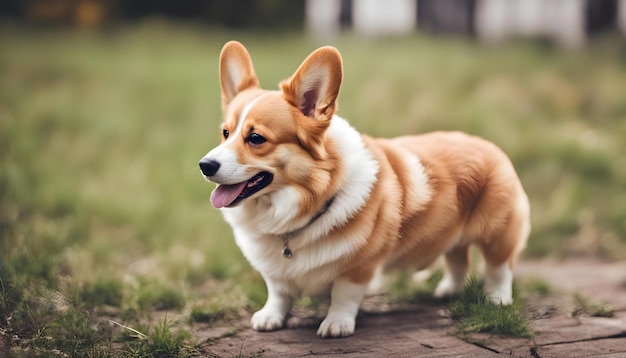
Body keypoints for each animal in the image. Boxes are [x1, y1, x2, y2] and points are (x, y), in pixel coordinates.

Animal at [197, 42, 528, 338]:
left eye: (255, 138)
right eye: (225, 133)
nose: (204, 165)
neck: (301, 203)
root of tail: (487, 144)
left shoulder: (358, 266)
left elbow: (344, 296)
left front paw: (336, 324)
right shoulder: (275, 273)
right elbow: (278, 293)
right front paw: (270, 317)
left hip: (497, 232)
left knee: (499, 267)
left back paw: (496, 299)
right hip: (451, 232)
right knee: (458, 258)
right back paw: (448, 291)